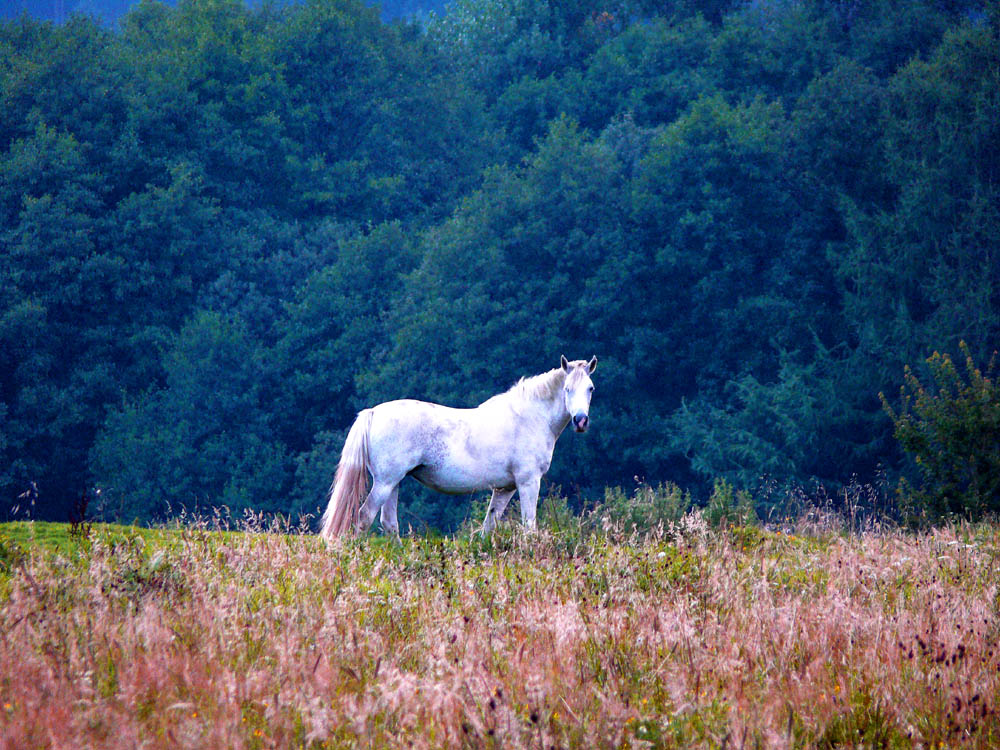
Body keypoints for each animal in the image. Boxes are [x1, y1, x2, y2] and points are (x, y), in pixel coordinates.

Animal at [320, 358, 596, 540]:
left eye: (590, 388)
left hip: (392, 483)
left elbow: (489, 525)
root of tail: (374, 412)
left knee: (388, 522)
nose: (581, 421)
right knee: (364, 516)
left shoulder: (504, 488)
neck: (530, 416)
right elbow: (529, 525)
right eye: (567, 389)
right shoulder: (528, 482)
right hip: (385, 483)